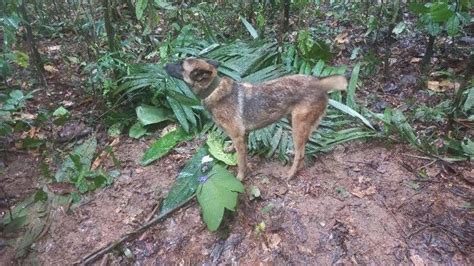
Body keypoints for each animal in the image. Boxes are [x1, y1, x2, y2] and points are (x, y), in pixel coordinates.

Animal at [165, 57, 346, 180]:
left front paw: (240, 178)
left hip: (298, 126)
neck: (213, 89)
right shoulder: (242, 135)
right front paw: (229, 148)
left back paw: (290, 174)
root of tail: (319, 83)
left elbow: (241, 161)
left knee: (301, 154)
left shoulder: (238, 136)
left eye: (180, 64)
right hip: (293, 121)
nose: (164, 64)